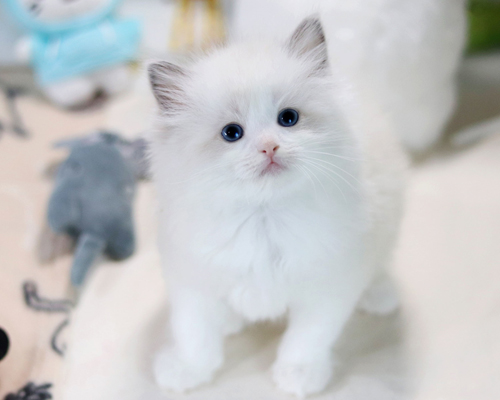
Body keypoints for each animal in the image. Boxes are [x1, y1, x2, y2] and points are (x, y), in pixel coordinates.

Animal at [148, 17, 407, 397]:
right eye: (231, 133)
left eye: (288, 118)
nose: (269, 147)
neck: (263, 216)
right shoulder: (192, 282)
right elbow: (194, 335)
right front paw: (186, 370)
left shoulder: (329, 285)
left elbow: (308, 338)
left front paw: (299, 375)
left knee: (379, 264)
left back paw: (378, 295)